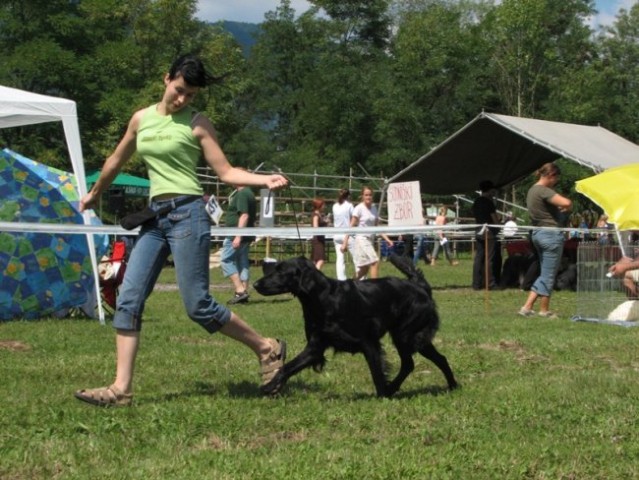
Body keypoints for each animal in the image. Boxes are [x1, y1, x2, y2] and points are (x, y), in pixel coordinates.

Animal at [252, 255, 458, 398]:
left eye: (281, 271)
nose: (255, 284)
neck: (323, 299)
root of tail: (420, 286)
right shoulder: (315, 346)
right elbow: (287, 368)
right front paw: (269, 386)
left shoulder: (369, 342)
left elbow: (377, 373)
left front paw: (382, 396)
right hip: (411, 337)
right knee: (430, 360)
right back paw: (451, 386)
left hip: (406, 335)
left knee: (415, 362)